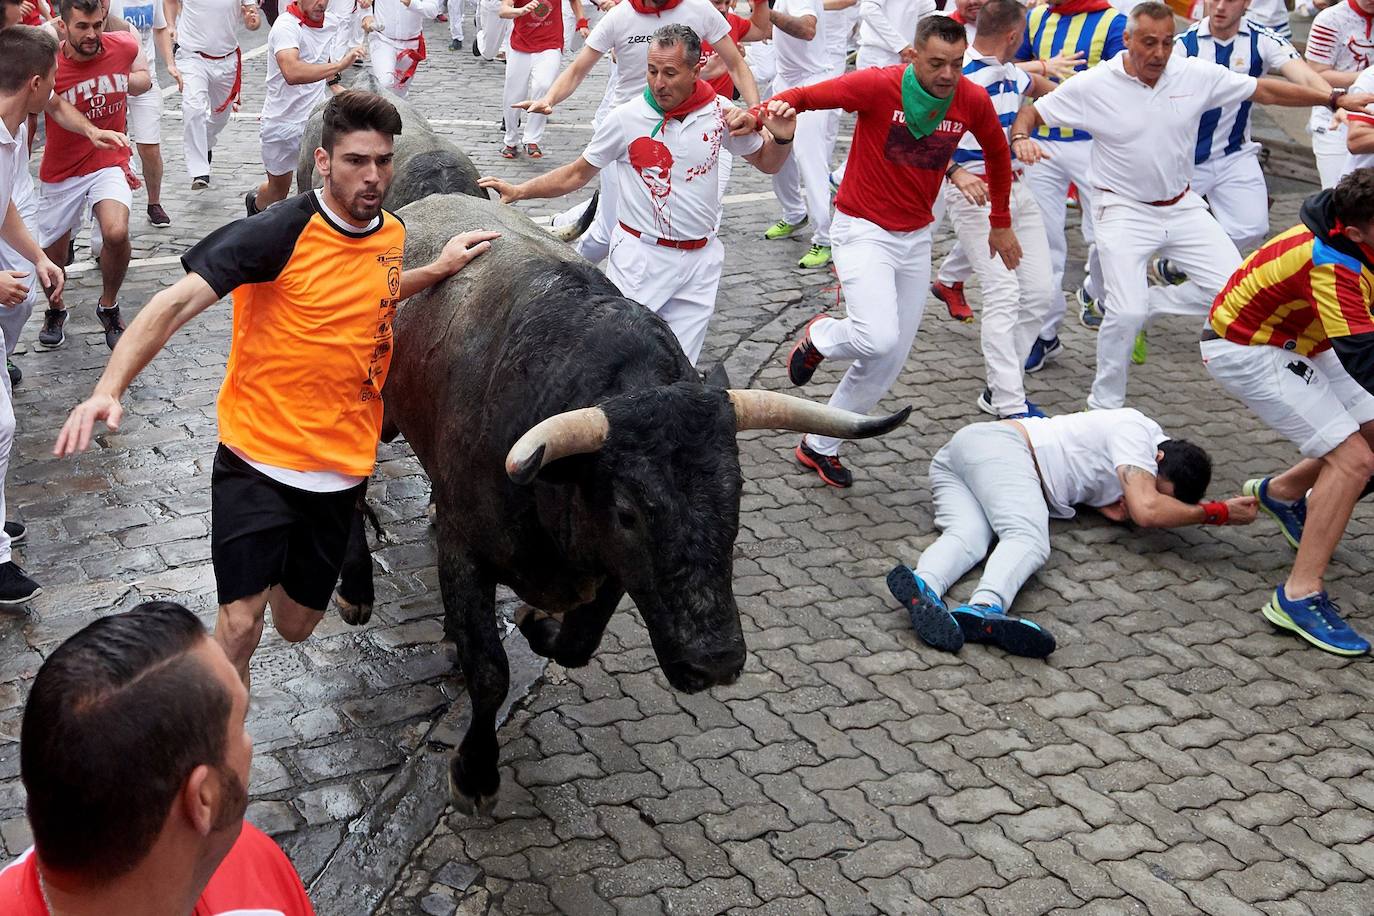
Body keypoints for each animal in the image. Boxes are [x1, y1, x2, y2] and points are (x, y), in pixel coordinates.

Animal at [313, 103, 912, 813]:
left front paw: (538, 626)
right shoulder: (467, 550)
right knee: (349, 488)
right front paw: (476, 771)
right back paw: (356, 590)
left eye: (736, 498)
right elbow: (490, 672)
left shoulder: (609, 571)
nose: (714, 661)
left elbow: (578, 642)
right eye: (628, 511)